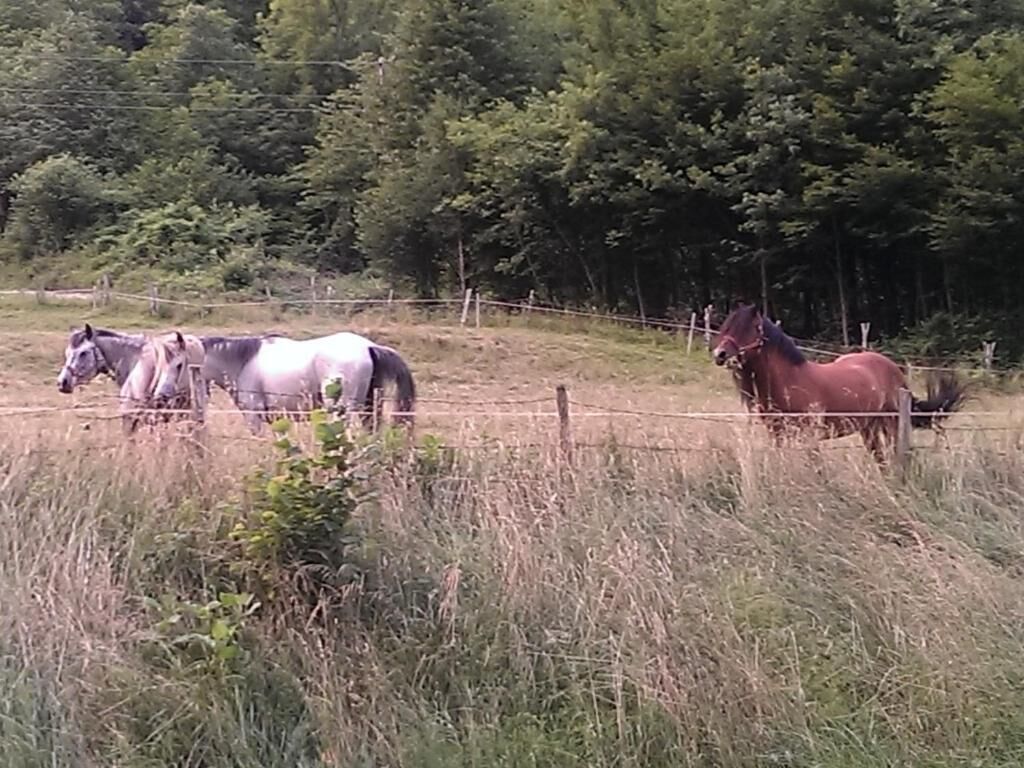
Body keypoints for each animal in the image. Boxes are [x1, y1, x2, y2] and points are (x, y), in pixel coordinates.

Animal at [711, 303, 965, 461]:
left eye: (749, 328)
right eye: (726, 327)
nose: (719, 355)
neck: (790, 381)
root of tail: (894, 369)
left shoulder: (810, 435)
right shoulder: (777, 434)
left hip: (891, 424)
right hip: (869, 427)